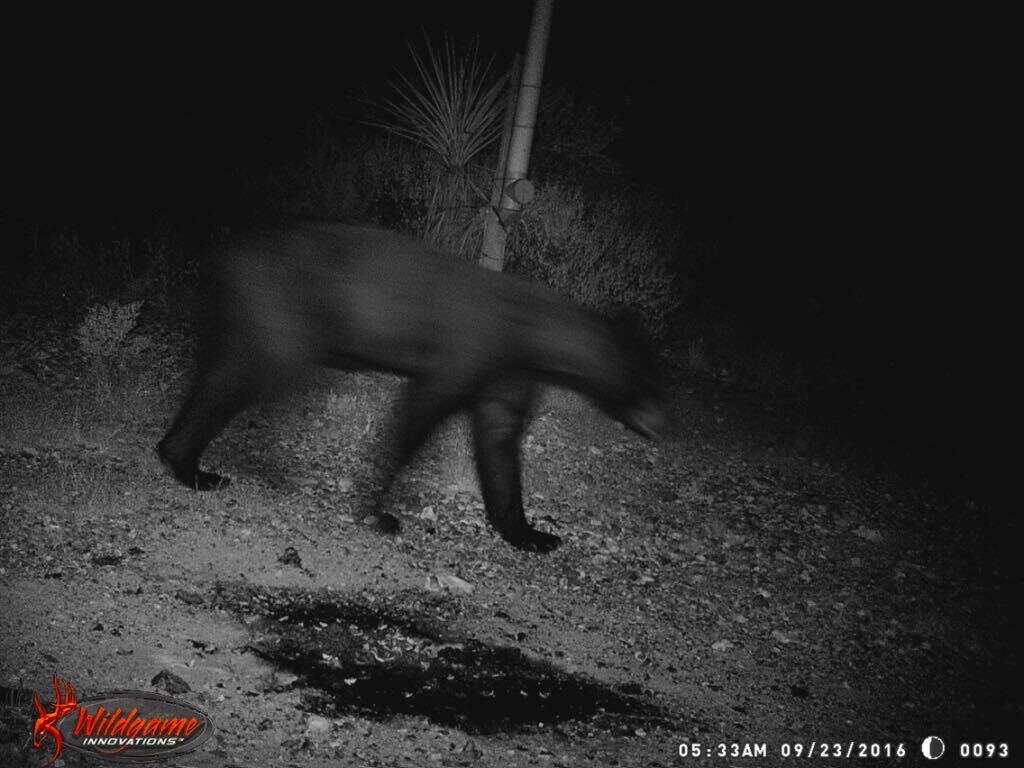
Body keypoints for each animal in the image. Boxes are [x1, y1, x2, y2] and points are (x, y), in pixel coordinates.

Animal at [158, 222, 667, 552]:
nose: (662, 422)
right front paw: (378, 509)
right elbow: (418, 416)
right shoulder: (468, 350)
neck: (531, 332)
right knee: (240, 377)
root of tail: (227, 254)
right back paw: (191, 467)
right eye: (649, 377)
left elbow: (500, 444)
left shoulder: (507, 377)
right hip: (282, 314)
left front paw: (531, 534)